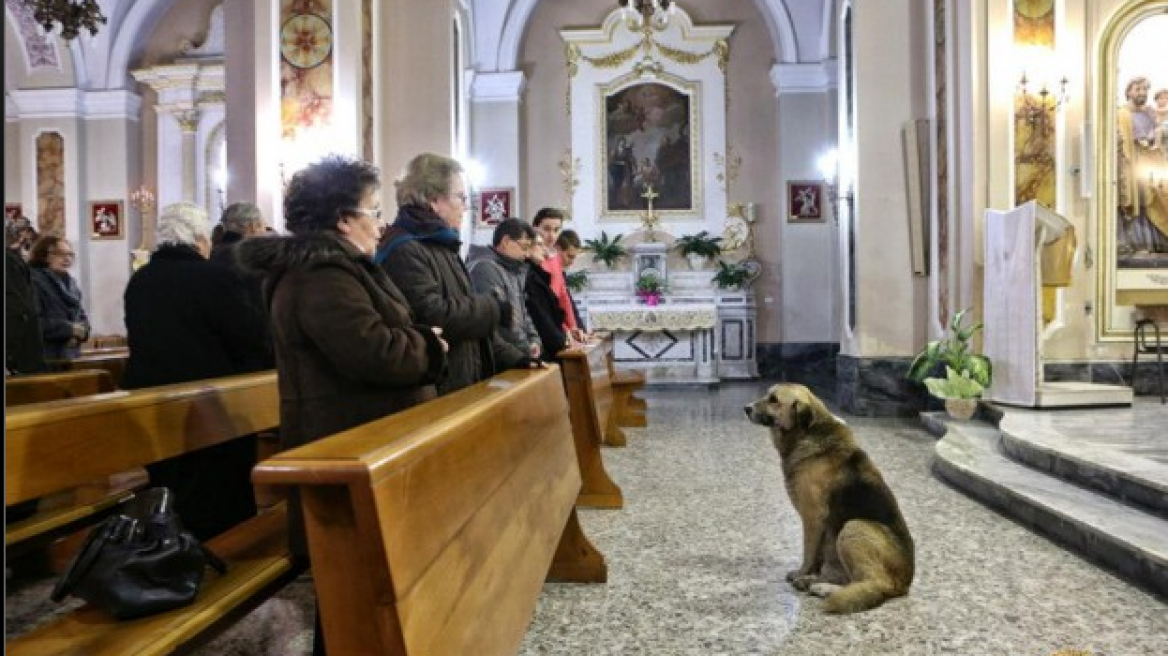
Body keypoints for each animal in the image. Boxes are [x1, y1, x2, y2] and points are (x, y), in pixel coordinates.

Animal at [742, 380, 915, 611]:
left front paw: (802, 573)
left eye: (774, 400)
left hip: (853, 527)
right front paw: (811, 574)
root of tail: (905, 584)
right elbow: (817, 557)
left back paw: (823, 587)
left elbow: (808, 553)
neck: (807, 433)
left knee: (874, 583)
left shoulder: (813, 518)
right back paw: (818, 583)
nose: (746, 408)